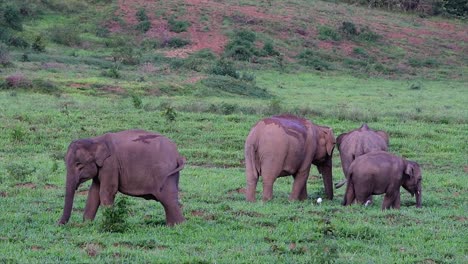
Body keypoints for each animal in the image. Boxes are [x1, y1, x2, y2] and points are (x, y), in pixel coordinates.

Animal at [59, 129, 187, 226]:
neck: (96, 140)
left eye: (79, 165)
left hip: (164, 172)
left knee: (167, 199)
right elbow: (94, 192)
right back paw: (171, 226)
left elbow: (106, 192)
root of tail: (178, 155)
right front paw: (87, 225)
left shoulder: (110, 165)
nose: (59, 224)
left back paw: (178, 226)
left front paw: (108, 223)